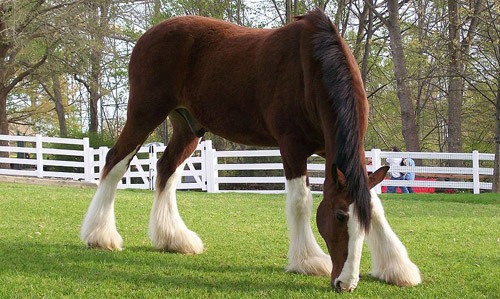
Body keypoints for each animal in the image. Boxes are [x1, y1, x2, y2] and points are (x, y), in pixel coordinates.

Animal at [80, 8, 420, 292]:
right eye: (338, 217)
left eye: (362, 223)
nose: (345, 284)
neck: (312, 68)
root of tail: (149, 35)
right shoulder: (292, 146)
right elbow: (300, 201)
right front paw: (308, 261)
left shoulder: (332, 151)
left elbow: (374, 203)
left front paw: (397, 268)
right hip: (144, 112)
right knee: (115, 162)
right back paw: (100, 236)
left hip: (188, 126)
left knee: (166, 169)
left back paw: (174, 239)